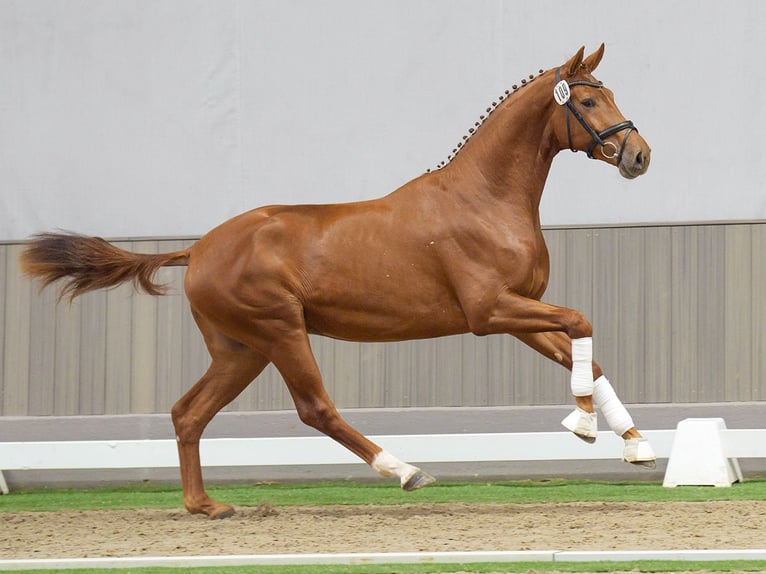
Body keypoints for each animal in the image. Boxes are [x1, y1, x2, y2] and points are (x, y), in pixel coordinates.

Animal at [21, 46, 656, 520]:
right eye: (590, 99)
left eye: (610, 94)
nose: (638, 156)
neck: (486, 197)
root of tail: (198, 249)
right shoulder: (490, 312)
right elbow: (581, 322)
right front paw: (582, 426)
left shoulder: (520, 312)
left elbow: (586, 354)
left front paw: (636, 445)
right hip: (280, 333)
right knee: (313, 409)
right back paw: (405, 471)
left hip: (241, 350)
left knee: (188, 413)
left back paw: (206, 506)